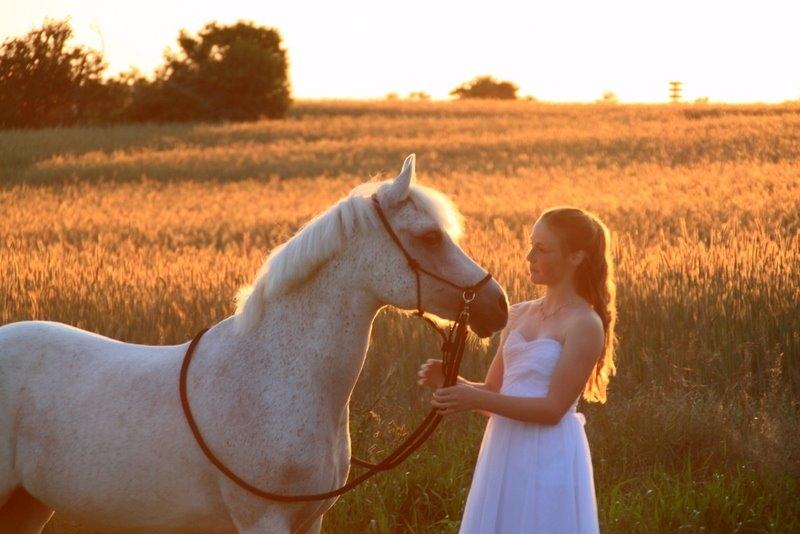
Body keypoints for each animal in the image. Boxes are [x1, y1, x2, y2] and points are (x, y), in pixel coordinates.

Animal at [0, 153, 510, 532]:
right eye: (430, 236)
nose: (498, 305)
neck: (278, 375)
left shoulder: (309, 521)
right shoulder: (264, 521)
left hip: (28, 505)